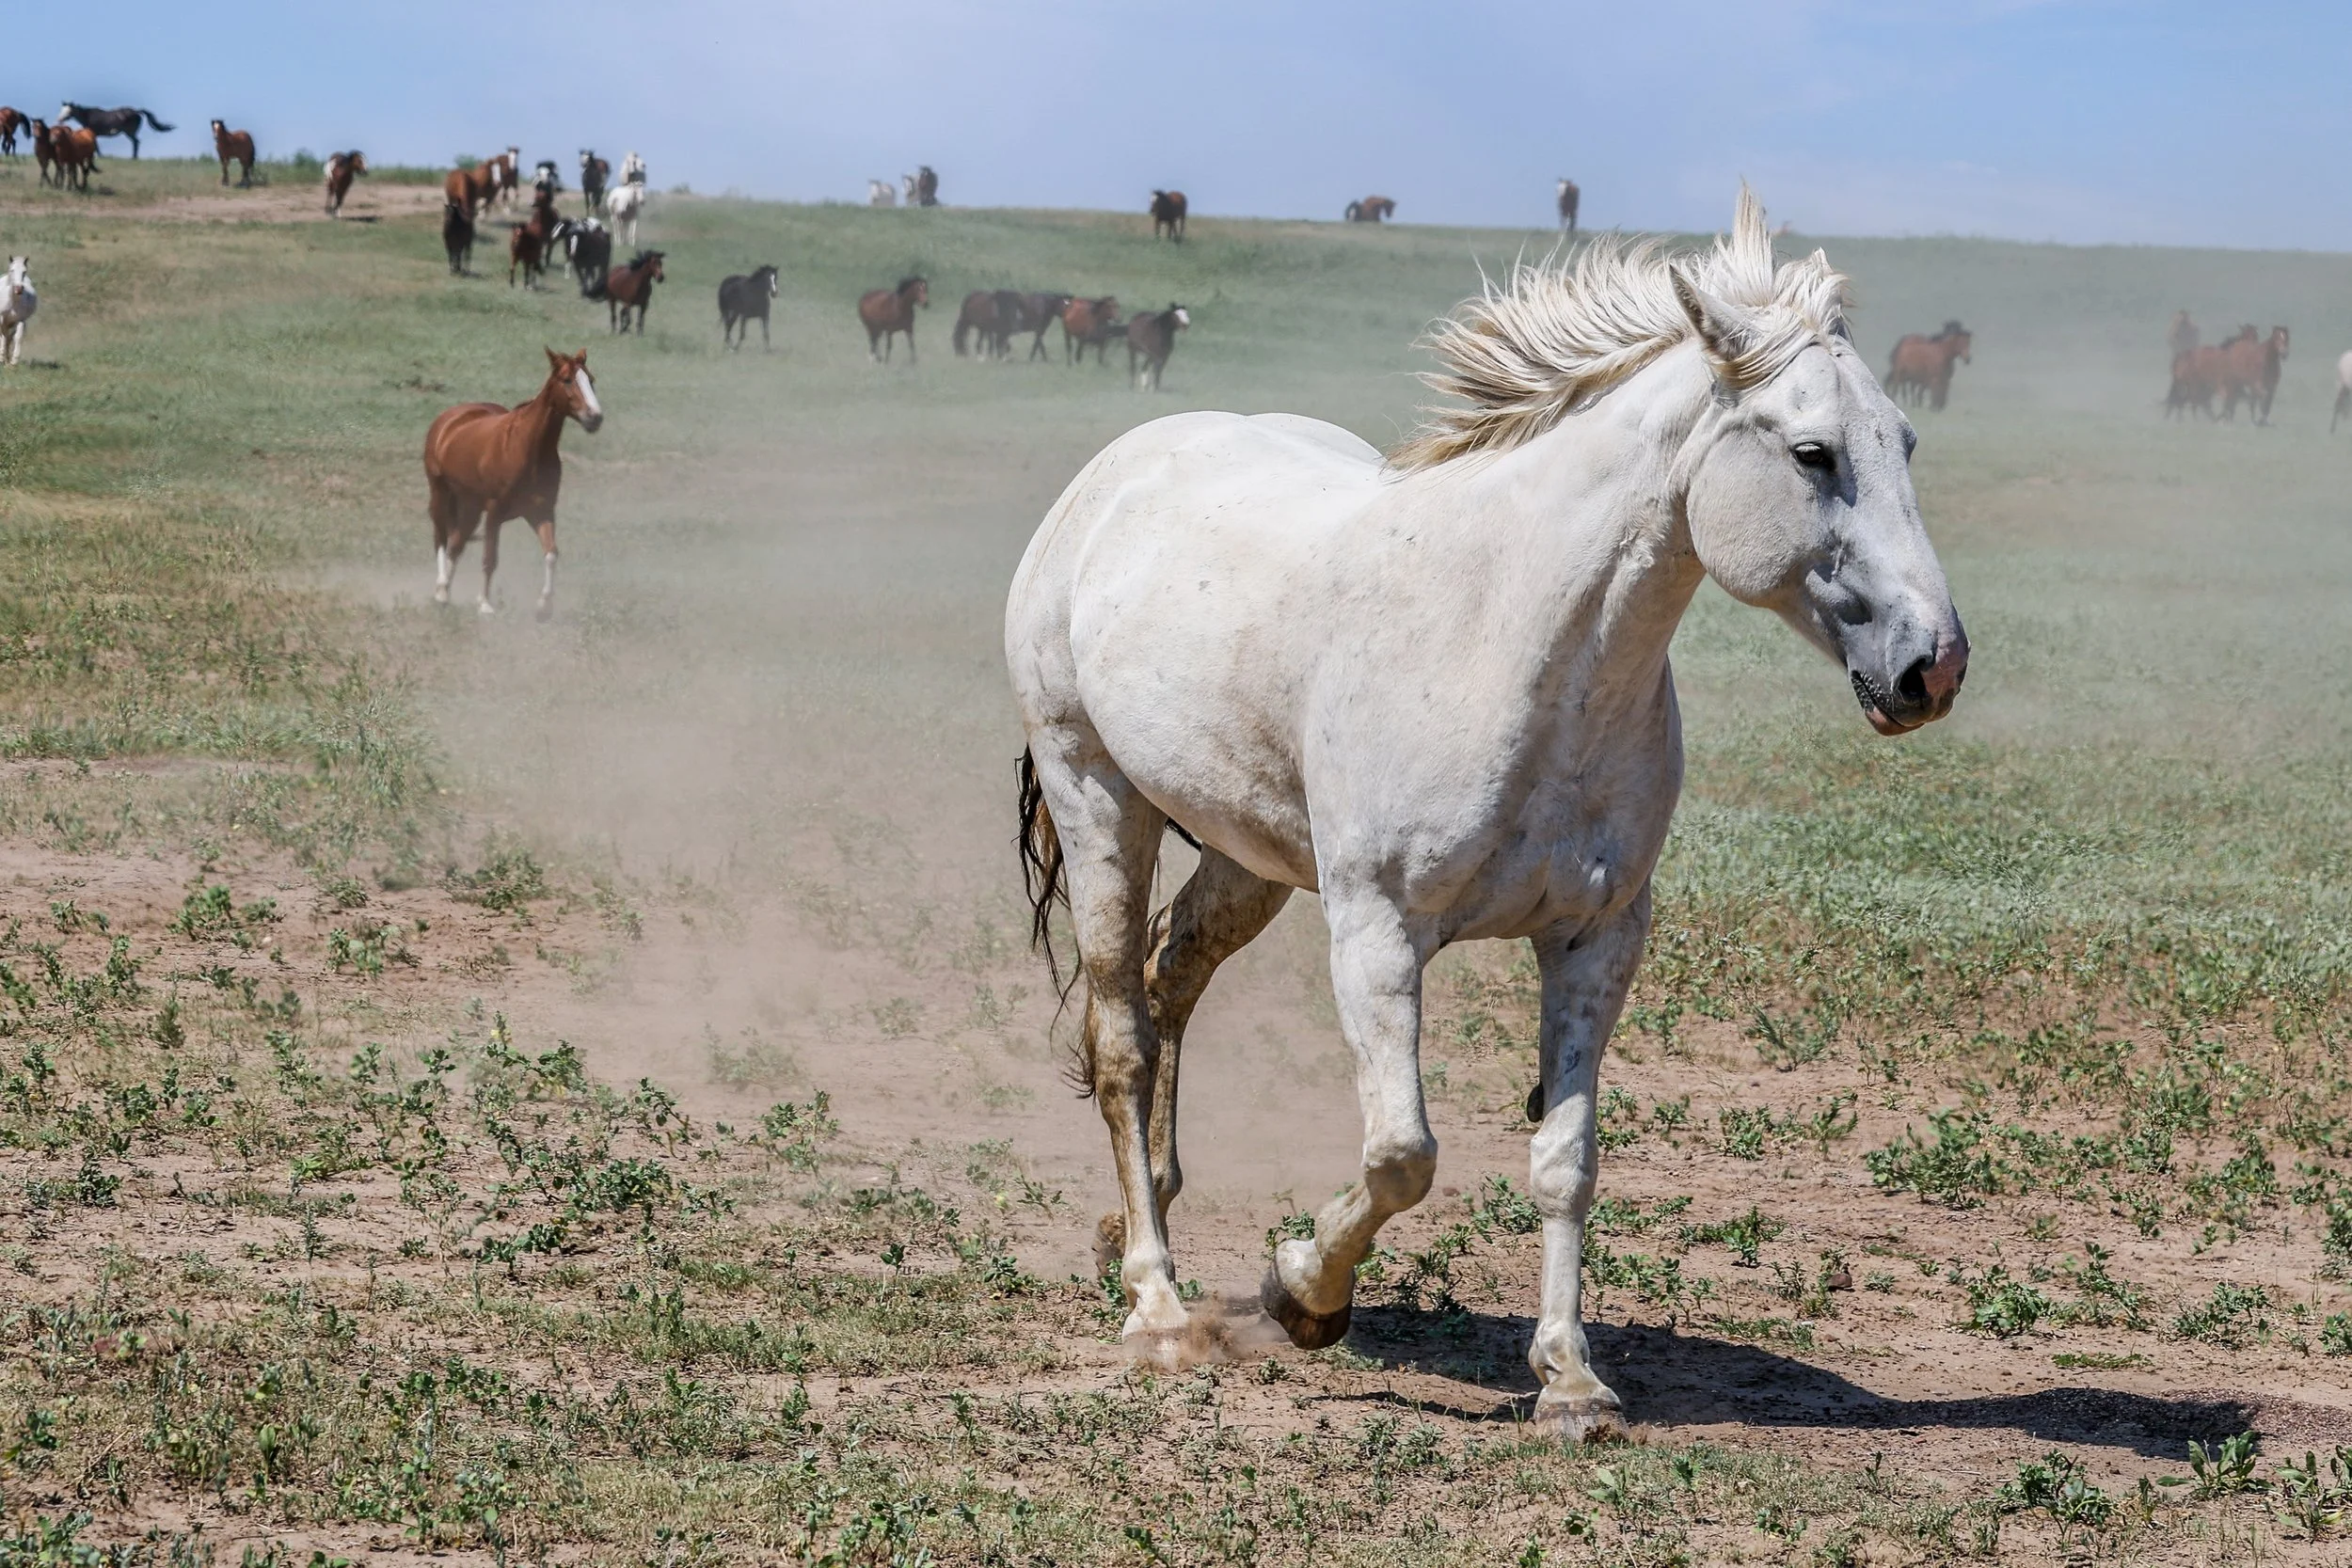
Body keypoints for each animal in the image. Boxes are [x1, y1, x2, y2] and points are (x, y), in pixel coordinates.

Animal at [423, 349, 603, 619]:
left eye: (590, 380)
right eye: (567, 380)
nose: (595, 418)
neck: (527, 448)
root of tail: (449, 419)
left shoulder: (542, 511)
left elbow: (551, 553)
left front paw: (544, 606)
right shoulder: (495, 512)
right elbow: (490, 557)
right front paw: (484, 604)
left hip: (470, 506)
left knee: (457, 542)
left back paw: (444, 592)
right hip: (441, 494)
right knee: (442, 540)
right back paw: (441, 589)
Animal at [1002, 188, 1965, 1439]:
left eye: (1904, 440)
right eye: (1813, 453)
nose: (1932, 666)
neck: (1516, 643)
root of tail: (1117, 470)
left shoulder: (1597, 937)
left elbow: (1565, 1157)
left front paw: (1570, 1378)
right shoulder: (1376, 932)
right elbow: (1402, 1151)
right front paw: (1302, 1289)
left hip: (1248, 855)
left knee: (1171, 981)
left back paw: (1141, 1220)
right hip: (1096, 796)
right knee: (1122, 1029)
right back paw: (1157, 1303)